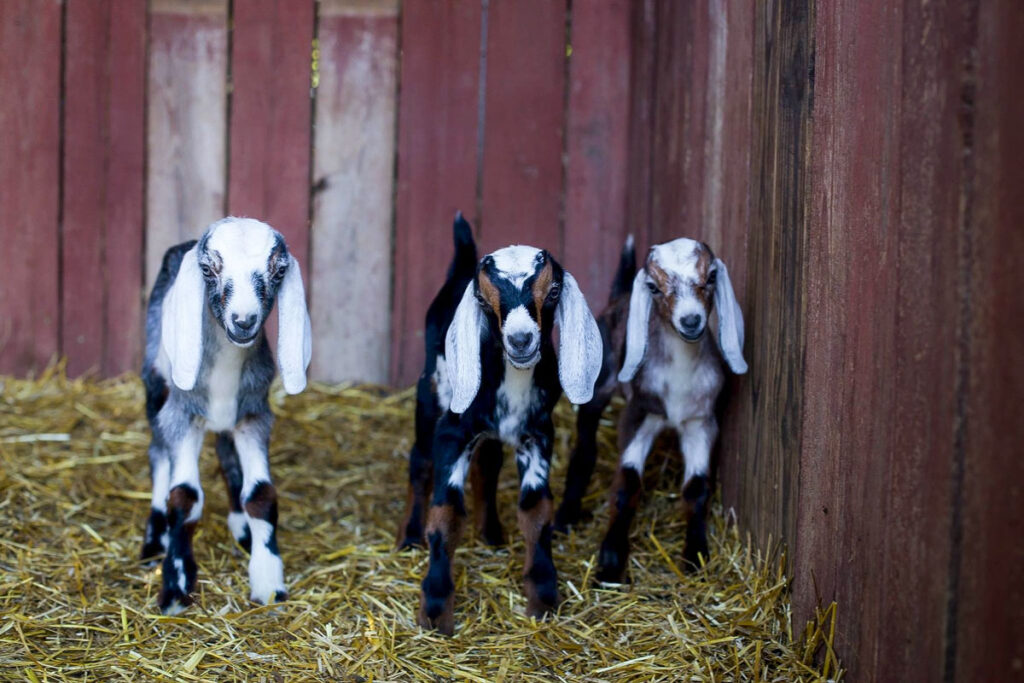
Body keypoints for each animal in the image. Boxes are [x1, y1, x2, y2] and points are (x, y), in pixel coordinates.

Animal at [139, 218, 311, 614]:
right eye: (207, 270)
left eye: (279, 271)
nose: (244, 321)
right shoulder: (181, 416)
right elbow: (184, 497)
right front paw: (175, 588)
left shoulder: (253, 415)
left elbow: (262, 495)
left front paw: (268, 580)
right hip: (156, 384)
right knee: (158, 453)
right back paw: (154, 540)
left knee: (226, 453)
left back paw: (241, 527)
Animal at [397, 214, 606, 634]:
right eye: (482, 297)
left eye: (553, 290)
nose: (521, 340)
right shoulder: (452, 433)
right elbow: (445, 514)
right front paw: (435, 610)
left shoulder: (537, 435)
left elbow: (536, 511)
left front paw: (543, 597)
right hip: (430, 397)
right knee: (419, 460)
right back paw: (409, 536)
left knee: (489, 462)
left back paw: (490, 532)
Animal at [557, 236, 749, 581]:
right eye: (653, 287)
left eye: (711, 276)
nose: (690, 320)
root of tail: (618, 297)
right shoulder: (639, 415)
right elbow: (627, 482)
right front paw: (610, 561)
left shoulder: (701, 422)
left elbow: (697, 488)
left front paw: (695, 553)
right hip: (596, 386)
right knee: (584, 450)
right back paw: (565, 517)